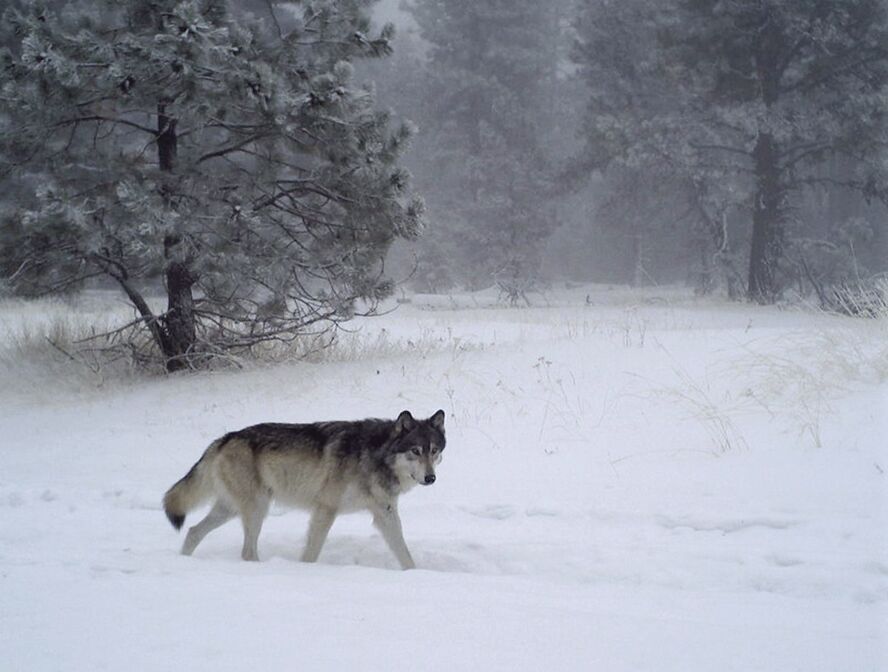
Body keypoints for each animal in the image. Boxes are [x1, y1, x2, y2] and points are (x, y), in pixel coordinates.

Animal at [162, 409, 445, 569]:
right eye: (415, 451)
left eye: (434, 451)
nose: (430, 478)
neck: (374, 455)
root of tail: (224, 439)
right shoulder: (326, 509)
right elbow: (311, 551)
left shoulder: (385, 514)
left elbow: (404, 553)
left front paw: (415, 574)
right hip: (257, 509)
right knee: (246, 551)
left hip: (230, 510)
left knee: (193, 532)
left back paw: (184, 560)